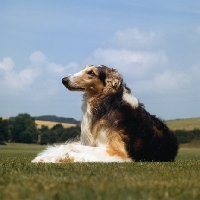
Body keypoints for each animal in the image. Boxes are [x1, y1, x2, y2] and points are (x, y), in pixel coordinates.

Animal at [32, 65, 179, 162]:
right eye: (84, 68)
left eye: (91, 72)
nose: (64, 79)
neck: (108, 102)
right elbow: (65, 146)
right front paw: (43, 158)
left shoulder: (116, 151)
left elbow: (70, 148)